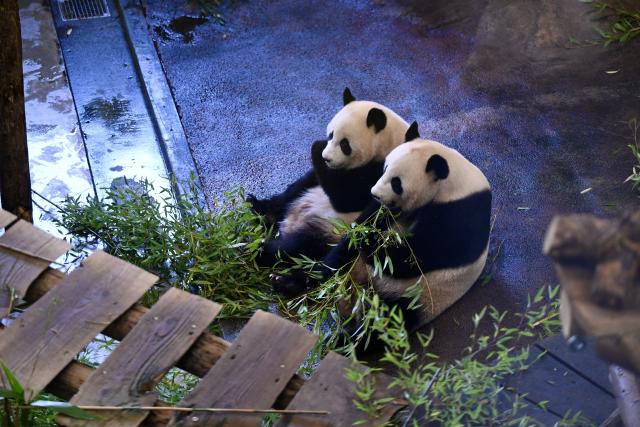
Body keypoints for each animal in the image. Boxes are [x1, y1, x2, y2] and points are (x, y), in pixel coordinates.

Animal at [248, 88, 413, 269]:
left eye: (345, 144)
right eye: (330, 135)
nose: (326, 158)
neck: (389, 142)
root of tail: (289, 224)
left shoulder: (386, 174)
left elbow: (347, 197)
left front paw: (317, 146)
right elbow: (304, 183)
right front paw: (260, 205)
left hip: (328, 231)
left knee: (295, 248)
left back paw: (257, 252)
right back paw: (262, 214)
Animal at [280, 132, 492, 332]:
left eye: (396, 183)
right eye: (384, 169)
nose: (374, 193)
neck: (452, 181)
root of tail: (363, 282)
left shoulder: (461, 212)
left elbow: (417, 256)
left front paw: (373, 244)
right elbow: (363, 225)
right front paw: (366, 233)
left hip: (418, 298)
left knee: (381, 329)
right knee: (310, 252)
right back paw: (289, 282)